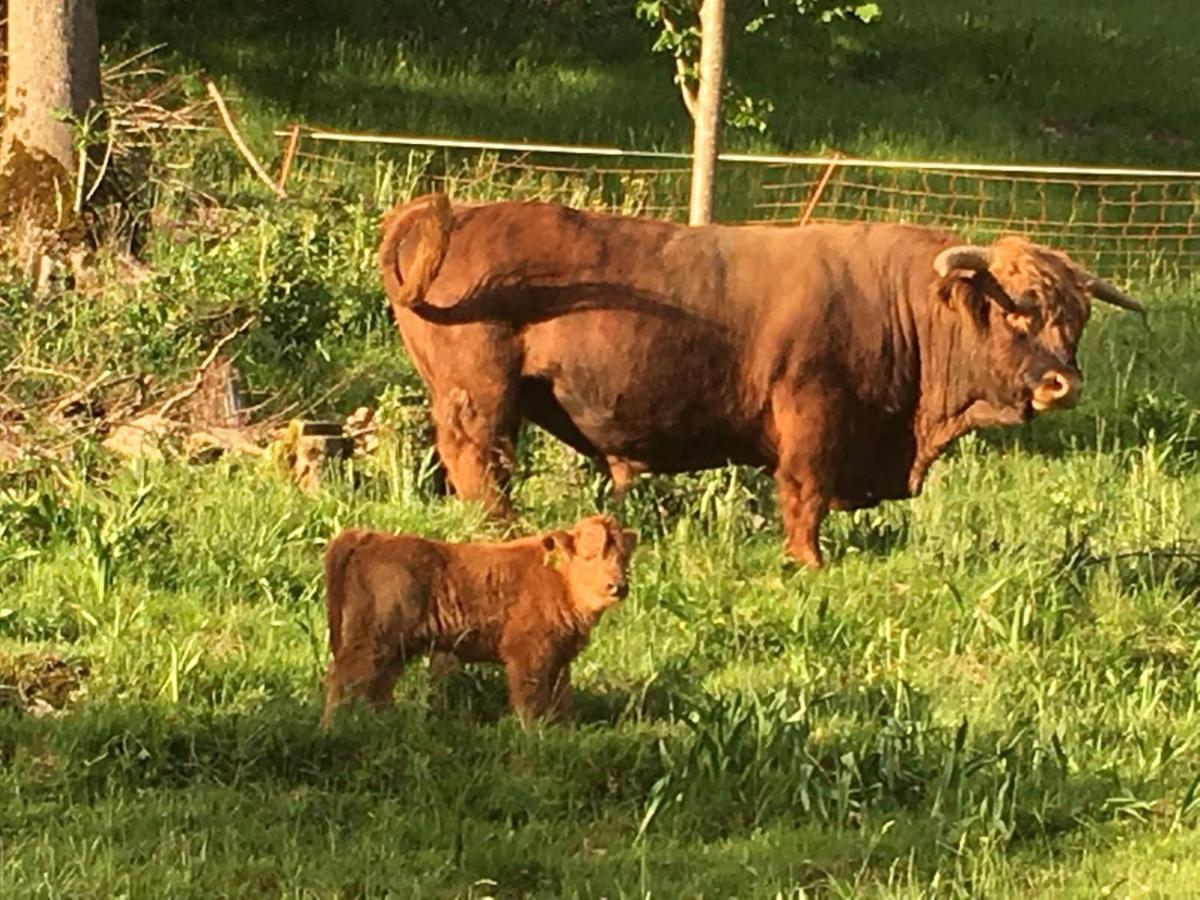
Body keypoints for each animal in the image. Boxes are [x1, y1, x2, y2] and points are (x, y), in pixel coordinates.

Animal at [376, 194, 1142, 566]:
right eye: (1017, 313)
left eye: (1075, 320)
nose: (1063, 384)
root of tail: (467, 216)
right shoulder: (812, 411)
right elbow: (804, 494)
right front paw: (809, 561)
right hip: (479, 394)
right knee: (481, 464)